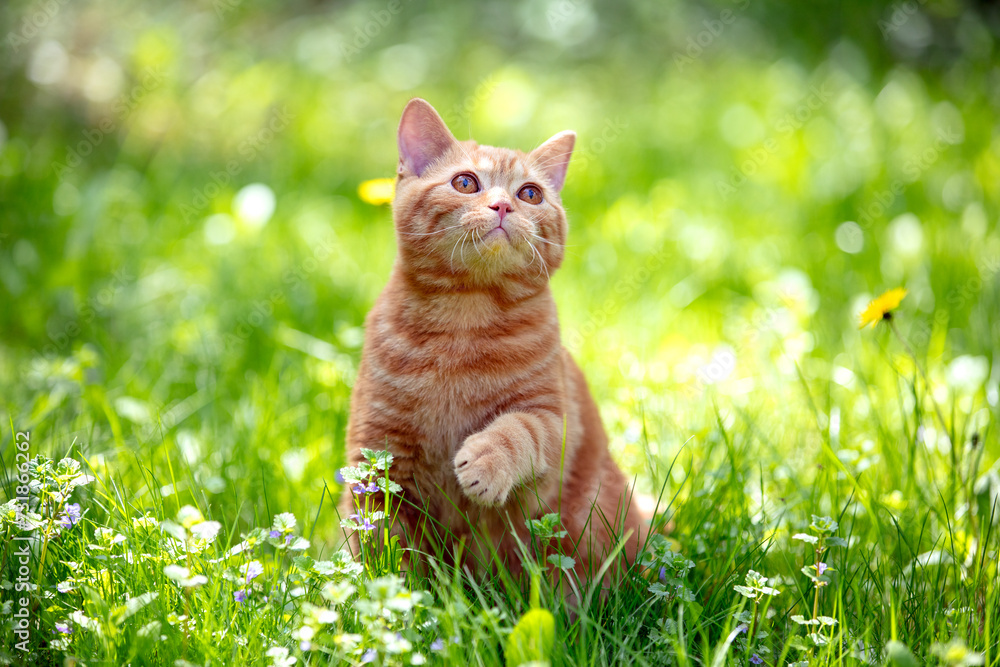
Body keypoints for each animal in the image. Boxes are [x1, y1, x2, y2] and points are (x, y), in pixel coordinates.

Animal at [340, 99, 644, 580]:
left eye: (530, 194)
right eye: (466, 183)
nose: (502, 205)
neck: (465, 319)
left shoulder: (553, 421)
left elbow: (517, 429)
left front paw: (485, 461)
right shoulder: (378, 453)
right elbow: (385, 548)